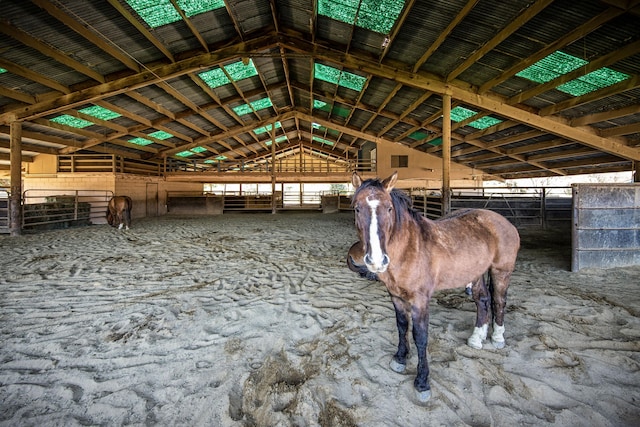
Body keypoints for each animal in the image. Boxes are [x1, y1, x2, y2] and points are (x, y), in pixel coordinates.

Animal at [344, 172, 520, 402]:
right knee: (482, 300)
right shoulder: (396, 297)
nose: (376, 261)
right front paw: (400, 359)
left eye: (389, 208)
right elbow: (402, 327)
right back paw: (476, 338)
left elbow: (420, 337)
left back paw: (497, 337)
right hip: (476, 272)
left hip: (501, 271)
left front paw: (422, 382)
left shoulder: (420, 301)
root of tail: (503, 221)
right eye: (357, 208)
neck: (409, 248)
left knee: (499, 301)